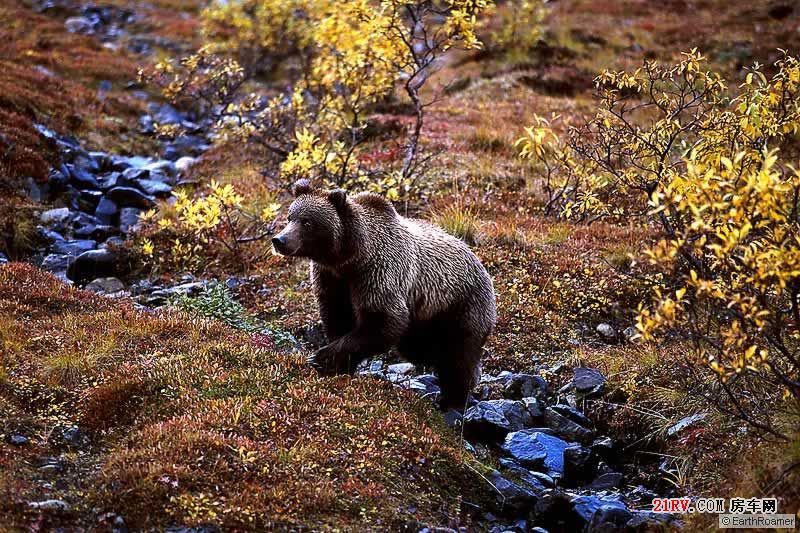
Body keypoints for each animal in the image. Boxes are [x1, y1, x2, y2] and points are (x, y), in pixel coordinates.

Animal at [276, 179, 500, 408]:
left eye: (307, 222)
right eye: (290, 217)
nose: (279, 240)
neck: (349, 258)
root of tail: (481, 265)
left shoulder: (379, 271)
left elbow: (383, 320)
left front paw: (322, 358)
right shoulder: (333, 280)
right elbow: (337, 316)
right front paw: (338, 367)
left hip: (460, 304)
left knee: (458, 355)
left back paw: (451, 400)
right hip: (426, 319)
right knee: (424, 350)